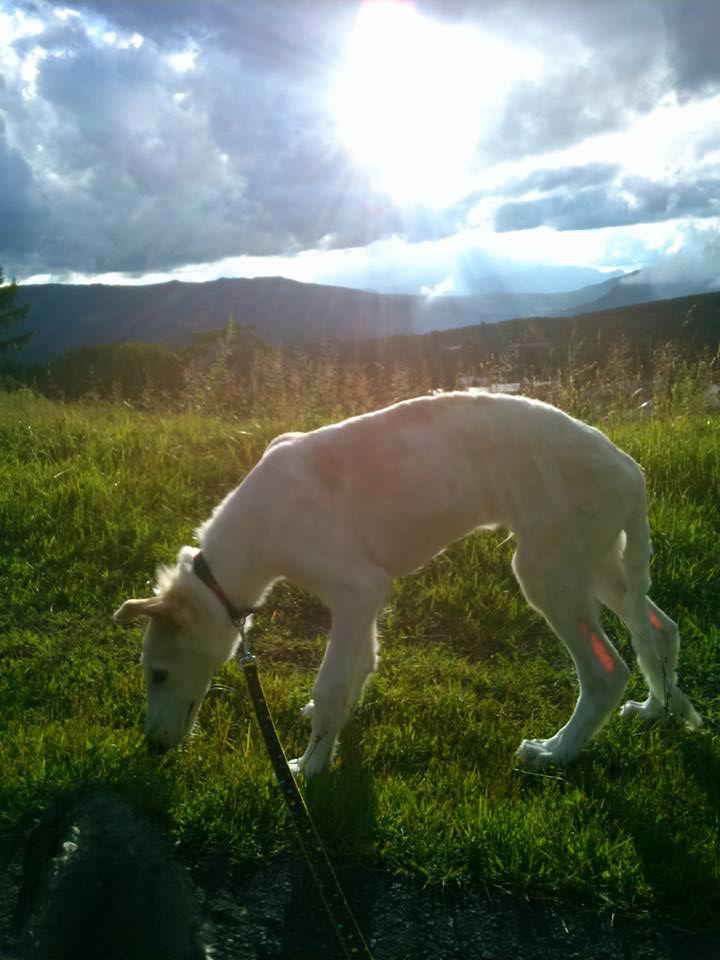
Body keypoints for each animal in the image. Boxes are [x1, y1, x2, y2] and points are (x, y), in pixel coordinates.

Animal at [114, 391, 701, 775]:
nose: (152, 747)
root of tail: (629, 469)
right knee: (660, 629)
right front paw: (332, 731)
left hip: (548, 572)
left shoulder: (357, 588)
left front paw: (308, 766)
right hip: (595, 564)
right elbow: (361, 665)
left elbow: (331, 684)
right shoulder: (369, 597)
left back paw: (554, 752)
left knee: (607, 671)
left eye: (159, 674)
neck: (258, 524)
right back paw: (654, 710)